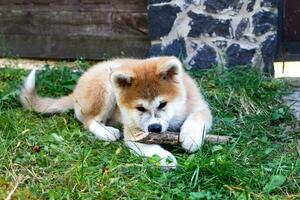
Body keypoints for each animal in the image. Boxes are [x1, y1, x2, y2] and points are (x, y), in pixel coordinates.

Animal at [20, 56, 211, 169]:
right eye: (140, 108)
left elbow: (197, 118)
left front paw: (191, 137)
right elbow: (148, 146)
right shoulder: (134, 131)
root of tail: (75, 92)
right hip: (105, 89)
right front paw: (164, 158)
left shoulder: (200, 107)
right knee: (88, 119)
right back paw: (106, 132)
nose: (154, 128)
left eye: (162, 104)